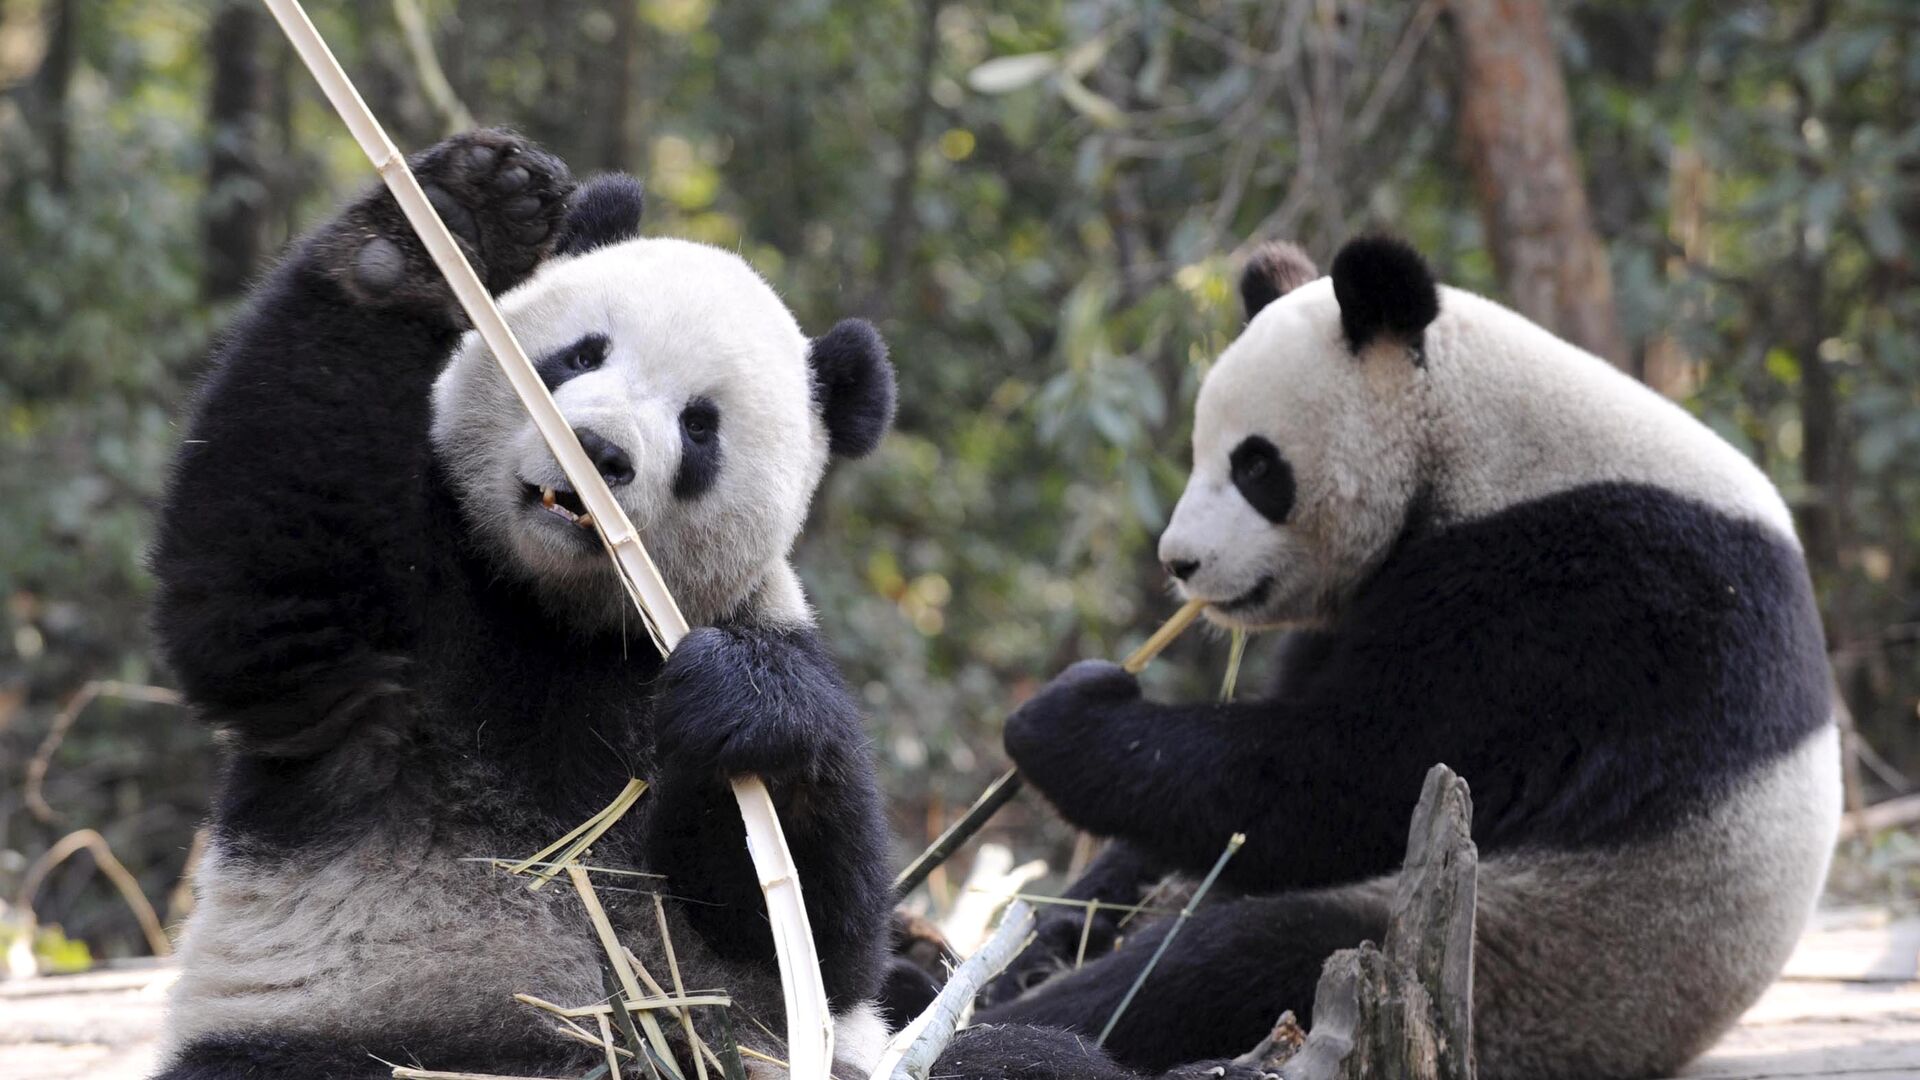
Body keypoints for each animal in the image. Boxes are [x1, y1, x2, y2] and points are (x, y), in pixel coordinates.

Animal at [149, 127, 898, 1076]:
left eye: (700, 426)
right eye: (581, 354)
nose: (599, 449)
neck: (557, 613)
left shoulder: (732, 629)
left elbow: (817, 937)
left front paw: (744, 702)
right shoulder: (410, 614)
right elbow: (257, 586)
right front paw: (452, 223)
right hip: (320, 1032)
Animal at [967, 237, 1835, 1076]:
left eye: (1255, 466)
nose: (1180, 562)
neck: (1469, 436)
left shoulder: (1581, 599)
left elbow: (1355, 775)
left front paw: (1065, 719)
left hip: (1545, 952)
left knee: (1232, 960)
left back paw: (1017, 1034)